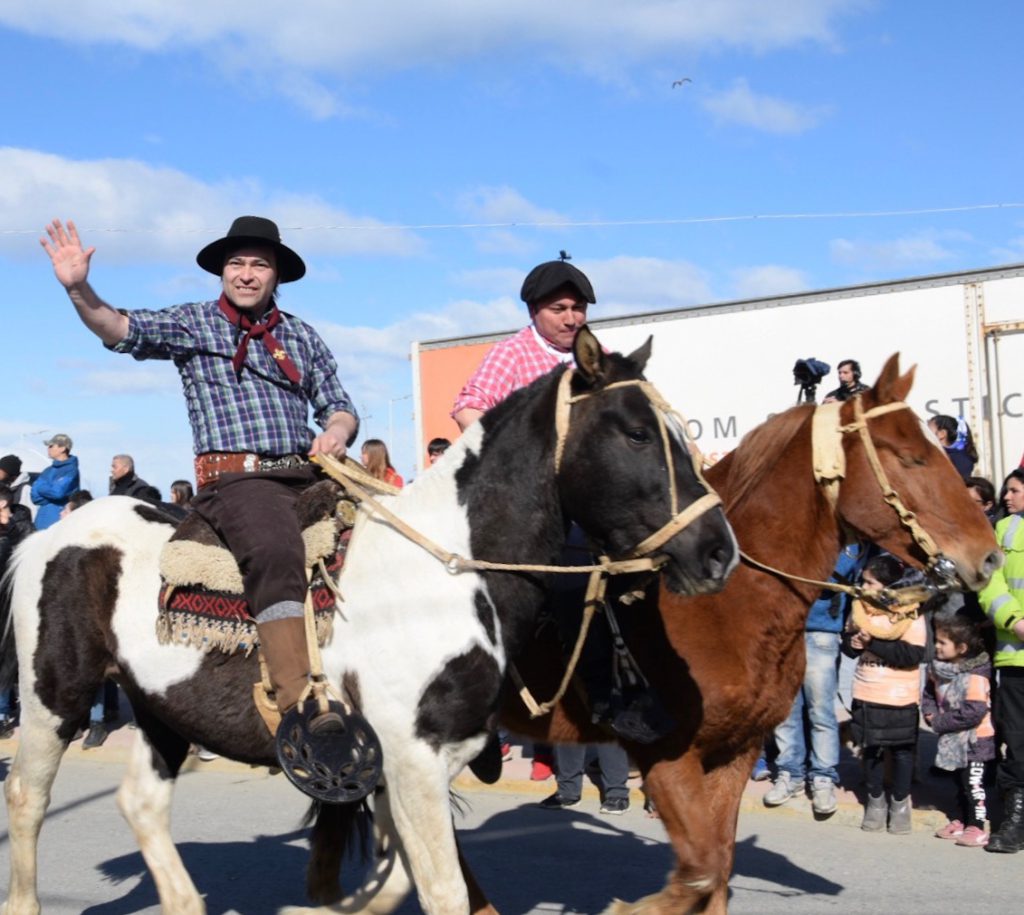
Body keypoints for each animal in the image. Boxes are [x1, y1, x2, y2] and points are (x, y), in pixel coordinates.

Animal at [0, 329, 737, 915]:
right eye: (636, 433)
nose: (718, 551)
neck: (450, 572)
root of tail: (50, 538)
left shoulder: (401, 765)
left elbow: (394, 880)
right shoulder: (412, 758)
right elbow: (439, 890)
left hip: (162, 708)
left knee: (141, 802)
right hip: (53, 697)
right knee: (28, 796)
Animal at [296, 352, 999, 915]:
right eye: (911, 456)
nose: (988, 557)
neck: (732, 606)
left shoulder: (736, 753)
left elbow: (718, 872)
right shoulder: (666, 755)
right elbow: (698, 871)